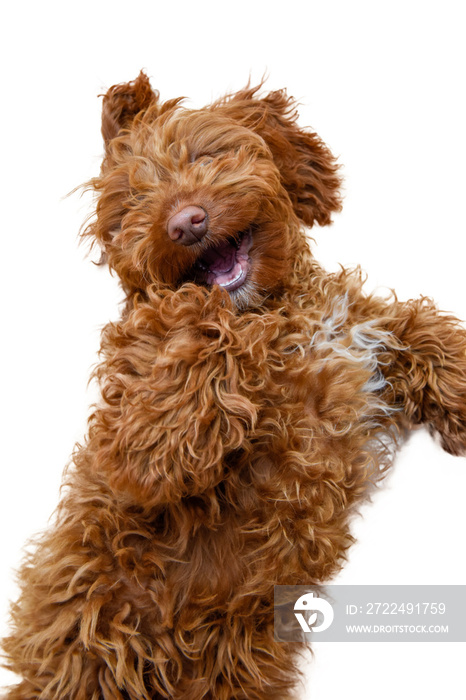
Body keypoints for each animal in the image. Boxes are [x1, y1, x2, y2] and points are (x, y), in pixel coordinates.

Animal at [3, 72, 466, 700]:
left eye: (205, 156)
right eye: (134, 202)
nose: (184, 222)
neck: (272, 311)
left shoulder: (362, 340)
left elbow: (420, 330)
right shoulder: (132, 401)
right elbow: (195, 327)